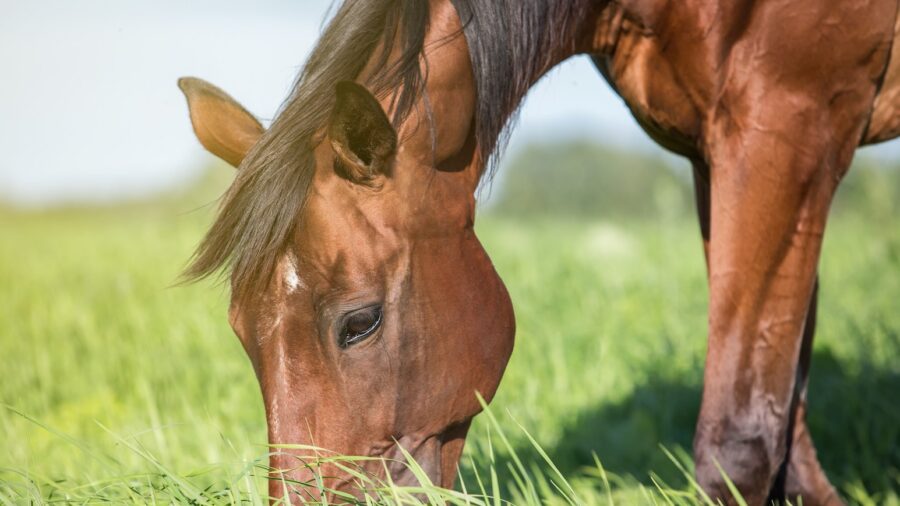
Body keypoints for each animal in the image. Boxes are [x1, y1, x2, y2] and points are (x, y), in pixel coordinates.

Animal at [176, 0, 900, 504]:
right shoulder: (715, 153)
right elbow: (786, 411)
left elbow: (739, 443)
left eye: (359, 322)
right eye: (242, 333)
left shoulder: (786, 127)